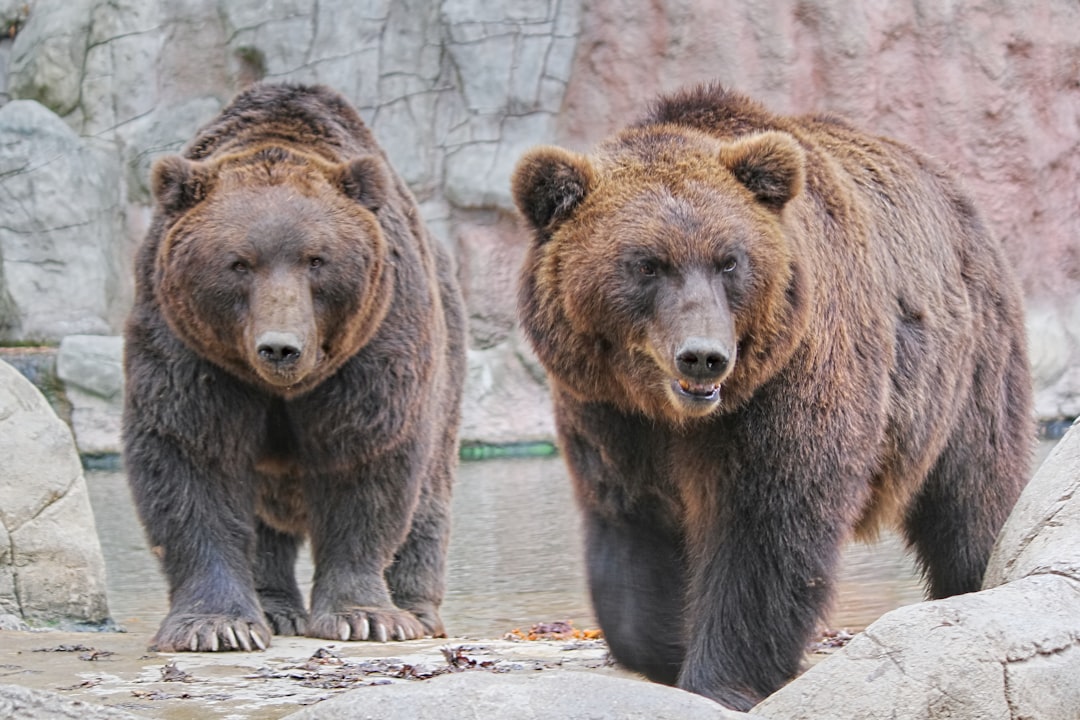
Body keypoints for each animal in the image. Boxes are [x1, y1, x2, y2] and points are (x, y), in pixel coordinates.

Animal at [122, 83, 466, 653]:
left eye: (316, 259)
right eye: (239, 263)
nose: (280, 348)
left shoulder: (373, 344)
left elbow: (365, 460)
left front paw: (365, 617)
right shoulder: (188, 347)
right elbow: (192, 455)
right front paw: (217, 626)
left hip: (448, 360)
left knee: (428, 493)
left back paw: (417, 609)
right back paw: (274, 607)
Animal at [511, 83, 1033, 709]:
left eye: (728, 261)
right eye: (646, 264)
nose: (703, 356)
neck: (673, 413)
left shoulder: (788, 382)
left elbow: (766, 526)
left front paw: (721, 678)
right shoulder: (609, 414)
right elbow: (633, 521)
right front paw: (663, 647)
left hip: (964, 368)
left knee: (974, 492)